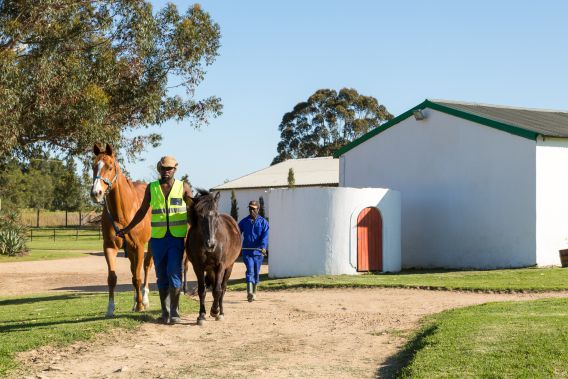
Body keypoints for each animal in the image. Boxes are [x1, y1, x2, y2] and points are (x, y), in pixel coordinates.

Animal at [90, 144, 153, 316]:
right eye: (93, 166)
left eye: (110, 167)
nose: (96, 193)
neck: (123, 213)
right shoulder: (110, 247)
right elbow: (112, 278)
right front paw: (110, 308)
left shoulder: (139, 247)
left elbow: (137, 277)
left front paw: (140, 305)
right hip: (129, 250)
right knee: (133, 269)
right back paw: (135, 301)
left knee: (146, 266)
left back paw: (144, 300)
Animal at [186, 189, 240, 326]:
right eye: (200, 216)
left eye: (216, 215)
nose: (210, 244)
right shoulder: (198, 267)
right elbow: (202, 290)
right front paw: (201, 315)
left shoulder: (220, 265)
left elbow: (217, 290)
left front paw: (215, 311)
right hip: (210, 270)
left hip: (229, 267)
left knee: (223, 288)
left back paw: (221, 312)